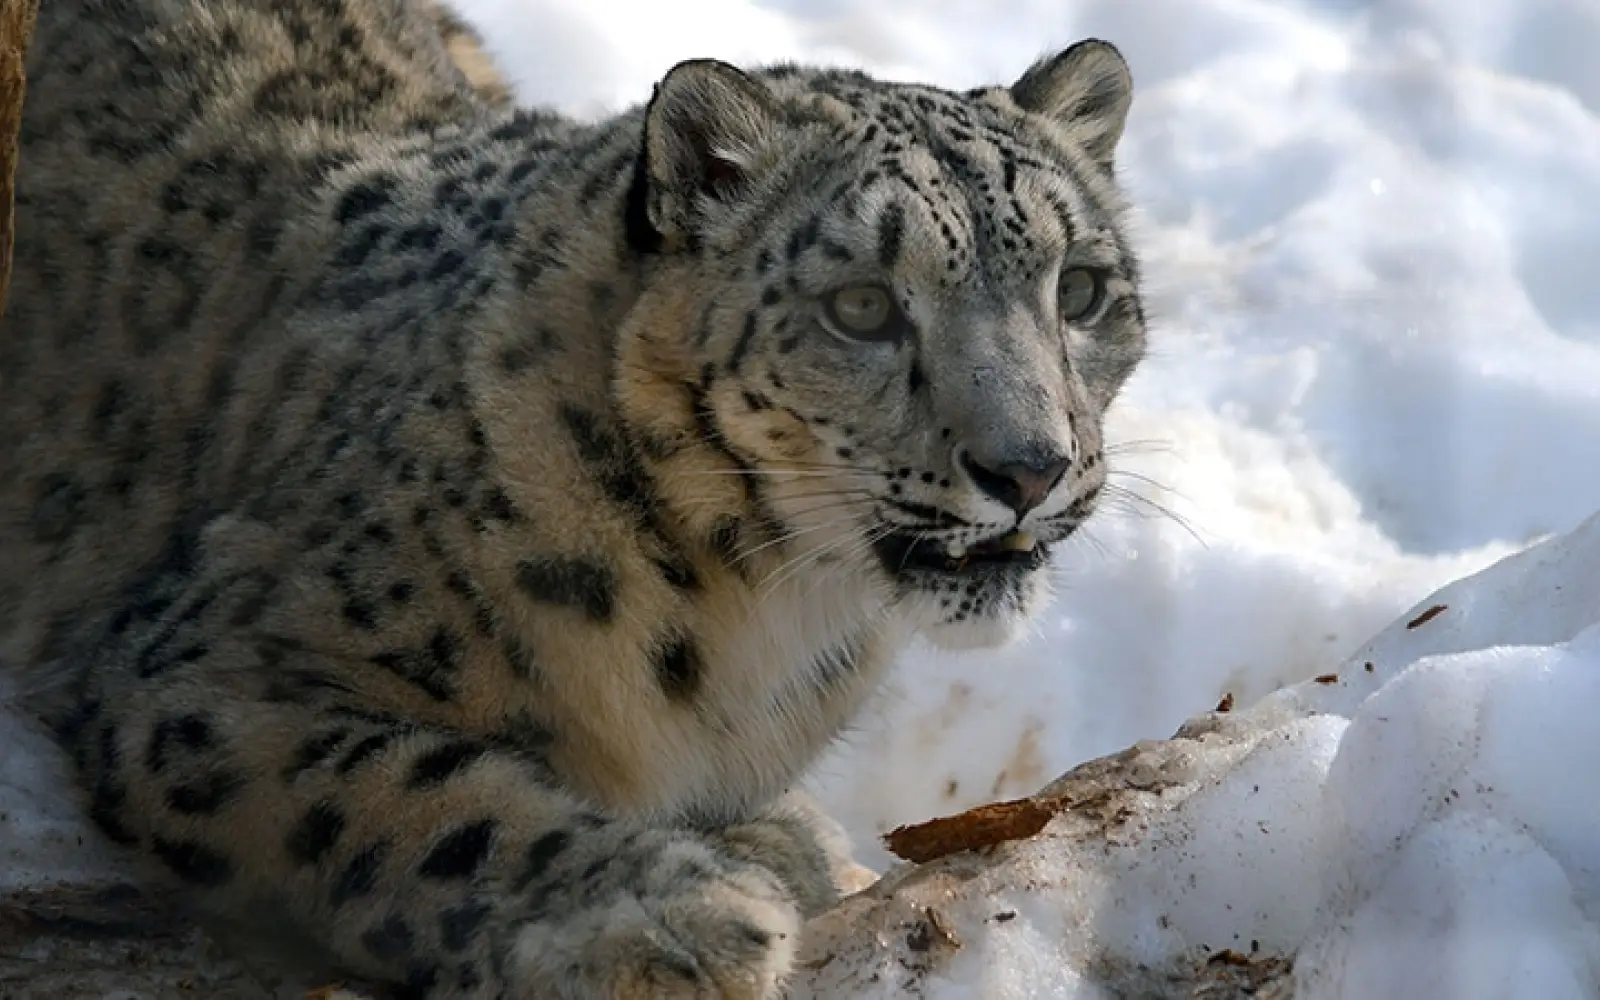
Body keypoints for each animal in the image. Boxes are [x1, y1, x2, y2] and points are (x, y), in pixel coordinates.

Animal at [0, 0, 1147, 996]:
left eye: (1082, 289)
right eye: (860, 306)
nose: (1029, 466)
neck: (759, 615)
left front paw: (772, 840)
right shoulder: (210, 674)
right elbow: (403, 794)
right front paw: (666, 915)